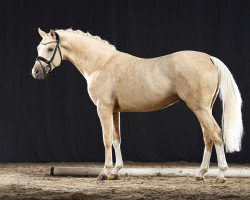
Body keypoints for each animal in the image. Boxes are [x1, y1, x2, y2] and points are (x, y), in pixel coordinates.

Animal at [32, 28, 243, 183]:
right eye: (38, 48)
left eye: (49, 49)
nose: (36, 72)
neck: (101, 64)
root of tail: (209, 58)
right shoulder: (115, 111)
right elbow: (116, 139)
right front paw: (115, 172)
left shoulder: (103, 109)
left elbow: (106, 139)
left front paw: (104, 172)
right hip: (203, 109)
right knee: (208, 137)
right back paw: (200, 174)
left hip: (200, 108)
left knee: (216, 134)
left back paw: (221, 174)